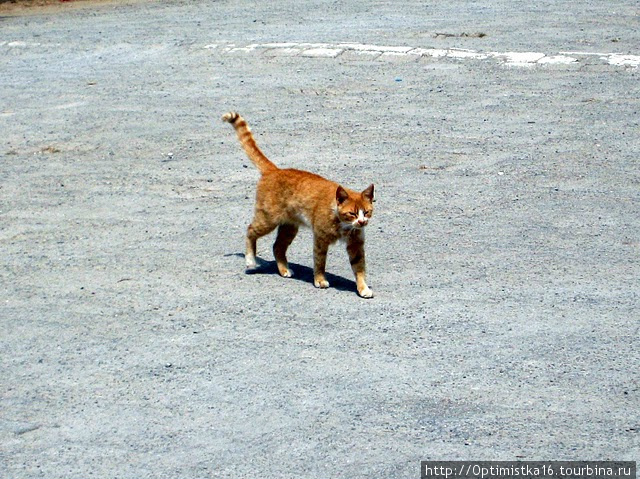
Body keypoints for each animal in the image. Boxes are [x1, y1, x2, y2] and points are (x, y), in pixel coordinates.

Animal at [222, 113, 376, 300]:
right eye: (352, 213)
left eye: (366, 212)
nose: (362, 222)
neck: (343, 225)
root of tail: (275, 170)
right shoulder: (320, 238)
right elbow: (320, 261)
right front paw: (320, 280)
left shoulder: (356, 243)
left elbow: (359, 267)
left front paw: (363, 288)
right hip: (268, 219)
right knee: (250, 230)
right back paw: (251, 260)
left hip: (289, 226)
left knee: (277, 246)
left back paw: (284, 270)